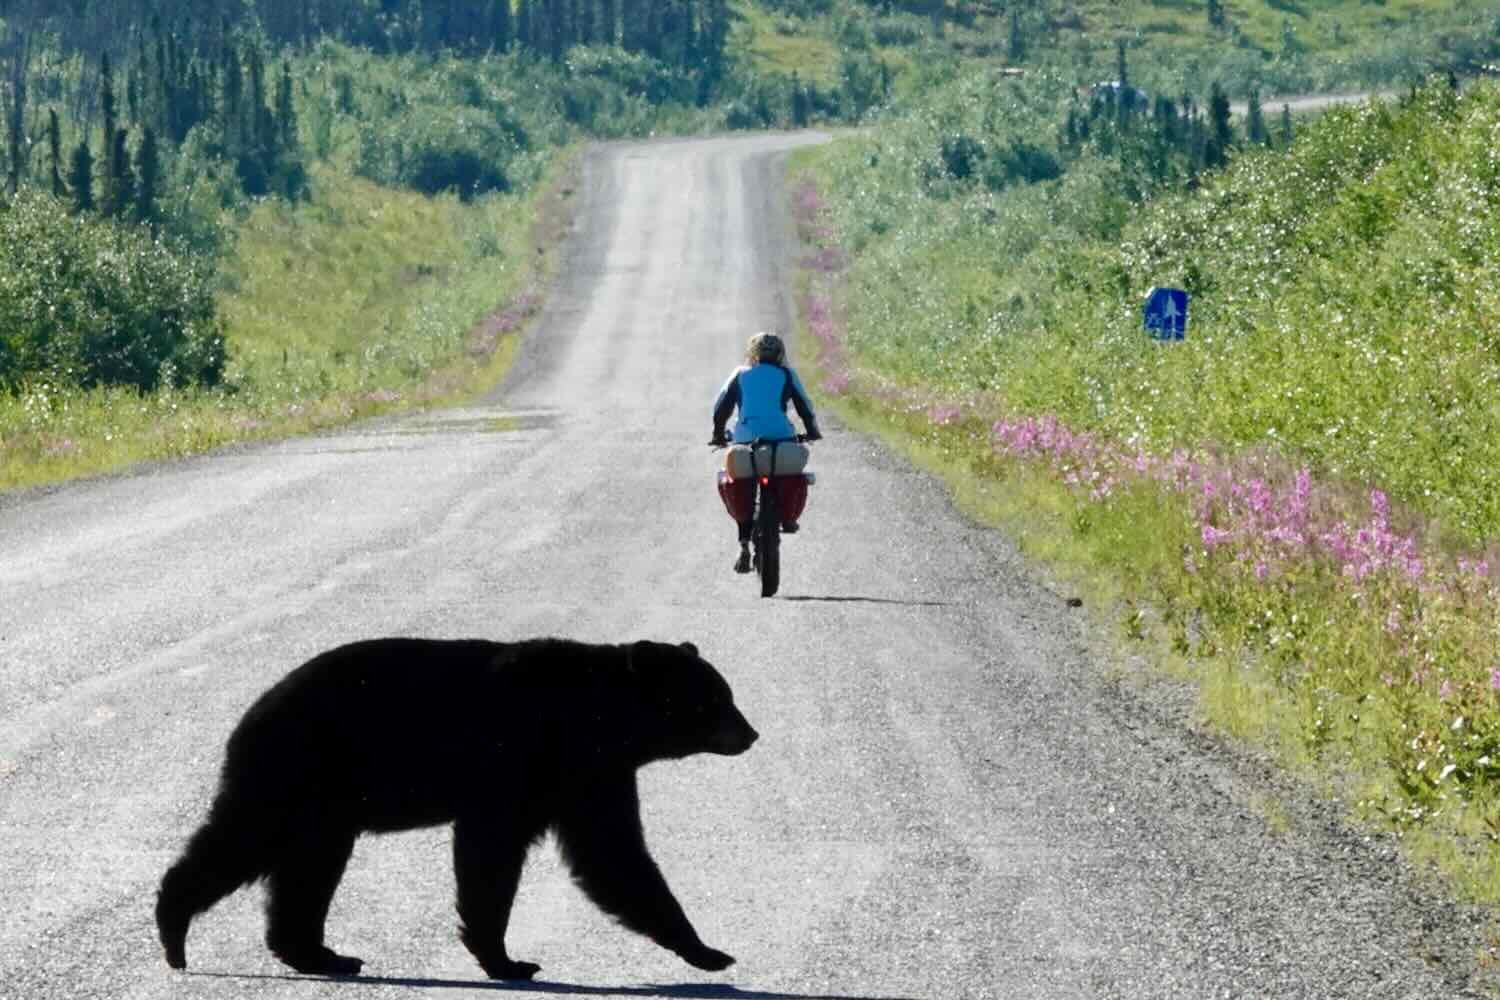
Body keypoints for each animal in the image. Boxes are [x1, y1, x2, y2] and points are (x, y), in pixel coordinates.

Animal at [158, 641, 756, 977]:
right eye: (716, 700)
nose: (750, 733)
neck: (598, 714)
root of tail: (250, 713)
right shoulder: (522, 762)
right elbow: (496, 853)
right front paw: (506, 960)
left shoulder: (590, 775)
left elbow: (611, 852)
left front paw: (706, 950)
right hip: (293, 771)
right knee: (245, 839)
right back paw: (173, 927)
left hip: (322, 807)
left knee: (306, 869)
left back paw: (318, 954)